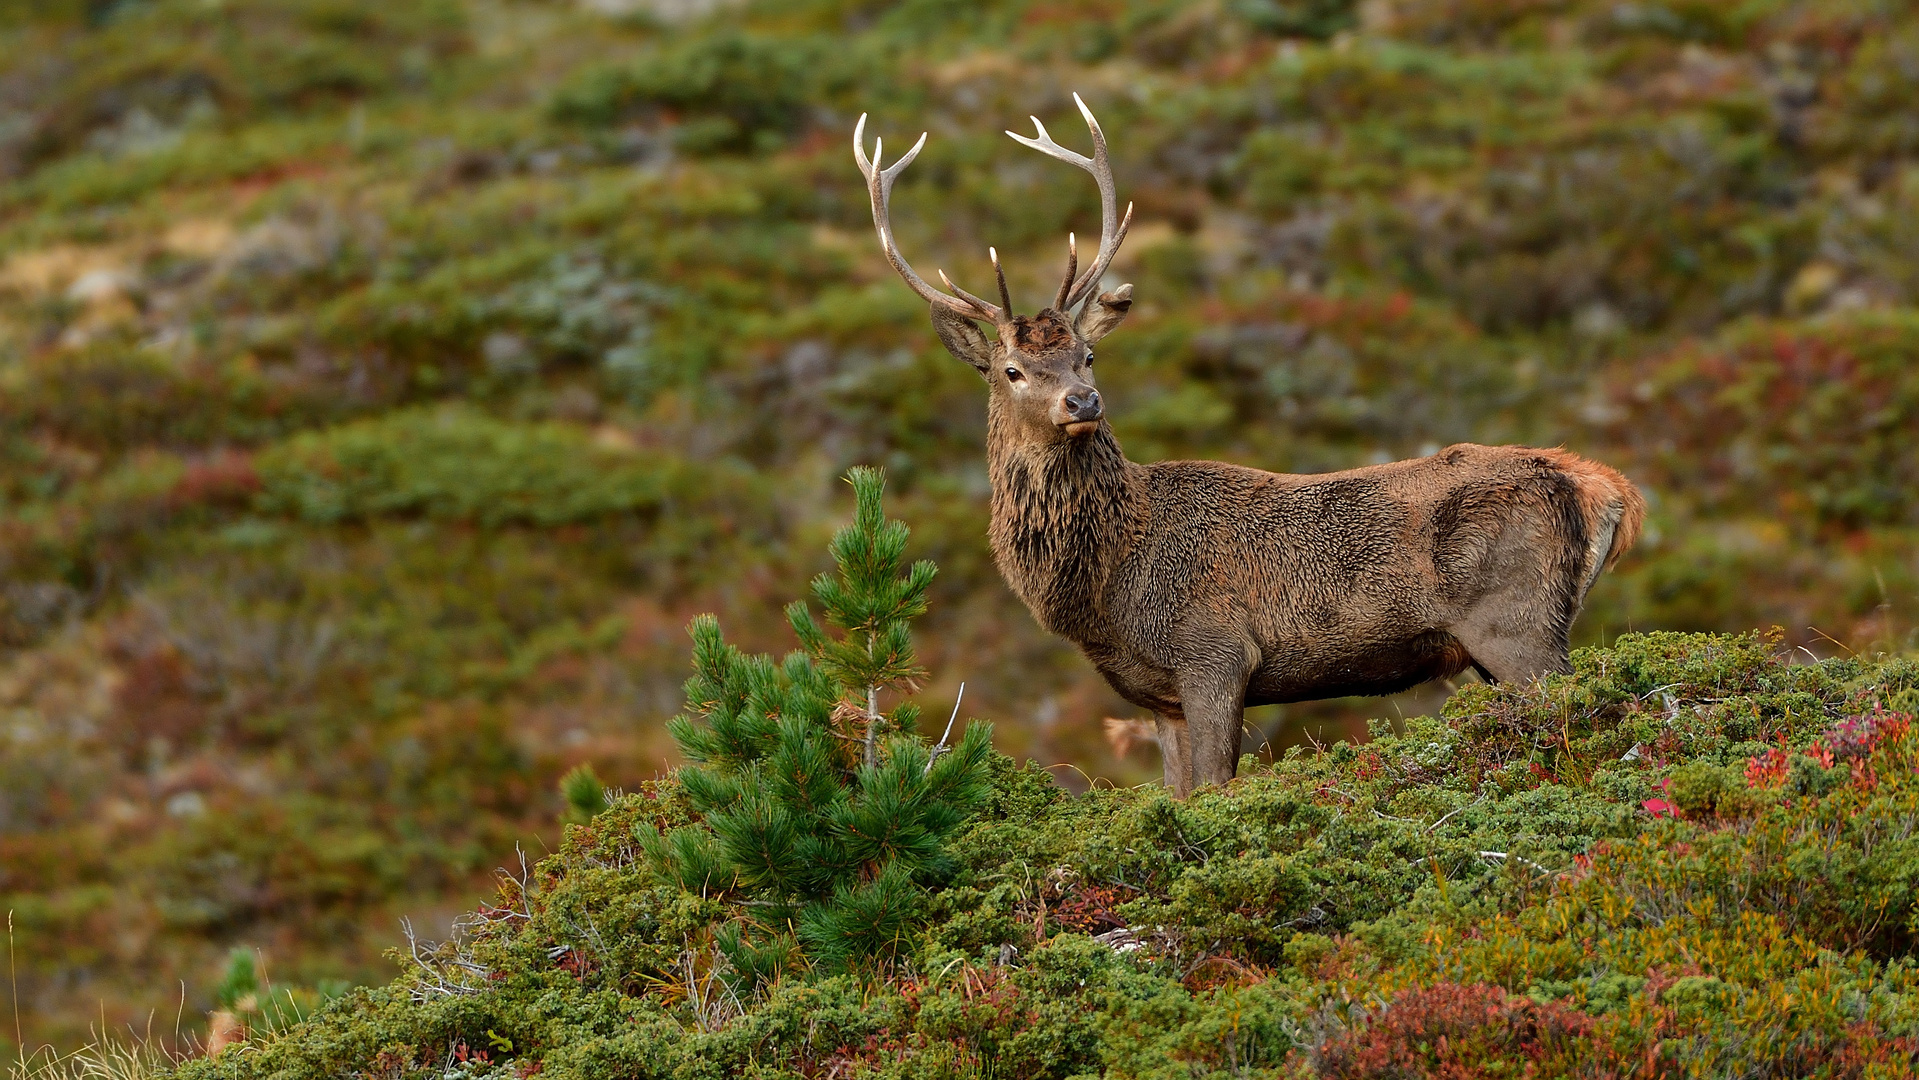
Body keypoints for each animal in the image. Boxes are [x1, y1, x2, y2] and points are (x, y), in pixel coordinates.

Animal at [859, 97, 1650, 798]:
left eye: (1086, 355)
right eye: (1012, 370)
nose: (1082, 402)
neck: (1108, 581)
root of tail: (1602, 488)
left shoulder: (1215, 651)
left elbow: (1216, 787)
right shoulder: (1160, 697)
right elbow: (1179, 796)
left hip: (1516, 621)